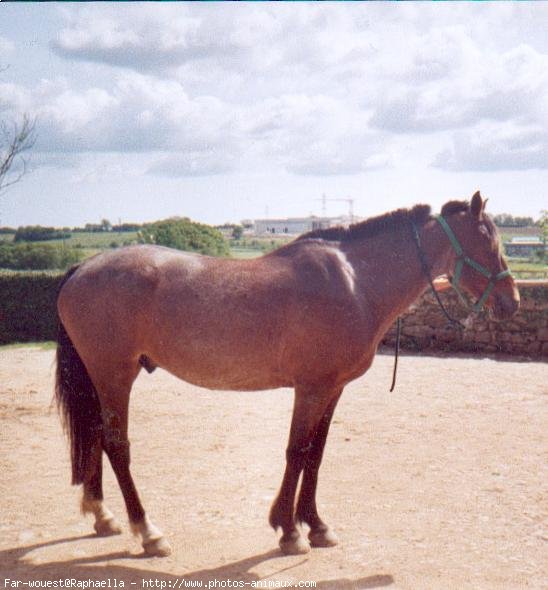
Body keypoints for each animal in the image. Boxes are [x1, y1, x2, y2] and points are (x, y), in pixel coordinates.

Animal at [54, 191, 520, 560]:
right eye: (488, 241)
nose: (511, 301)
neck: (354, 281)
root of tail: (84, 267)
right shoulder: (310, 389)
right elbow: (297, 451)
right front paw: (290, 530)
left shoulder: (332, 389)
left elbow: (316, 454)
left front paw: (316, 526)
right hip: (116, 375)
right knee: (117, 445)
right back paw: (148, 532)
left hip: (100, 378)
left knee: (94, 436)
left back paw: (103, 516)